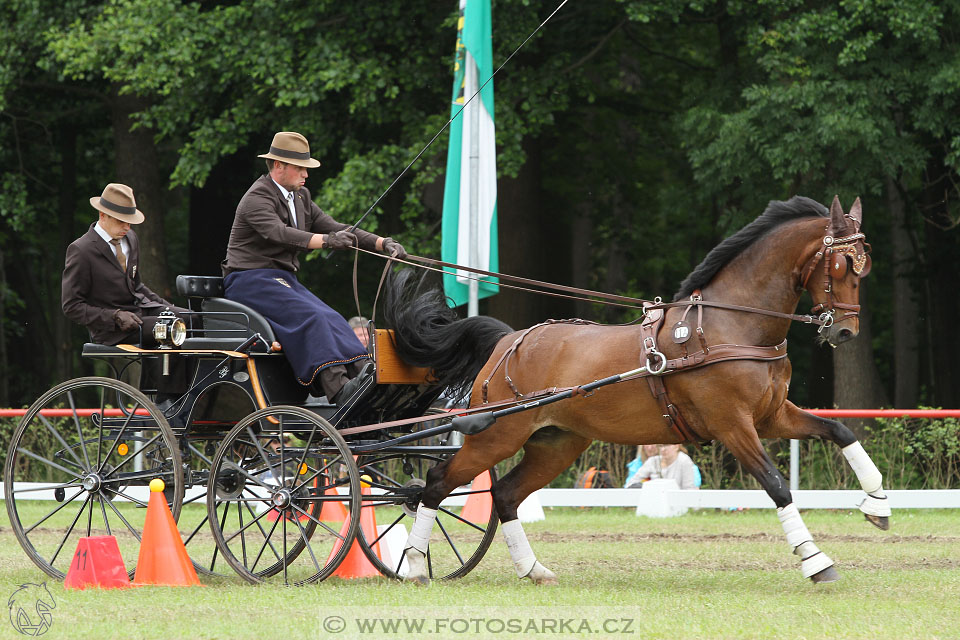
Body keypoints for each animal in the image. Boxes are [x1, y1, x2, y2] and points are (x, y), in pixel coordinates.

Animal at [378, 195, 888, 584]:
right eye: (843, 263)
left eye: (864, 269)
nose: (845, 332)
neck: (730, 326)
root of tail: (510, 340)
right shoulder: (732, 425)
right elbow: (777, 484)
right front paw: (816, 560)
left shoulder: (771, 416)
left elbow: (841, 432)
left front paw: (877, 503)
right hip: (496, 435)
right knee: (435, 484)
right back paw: (414, 566)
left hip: (556, 443)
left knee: (503, 495)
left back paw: (533, 569)